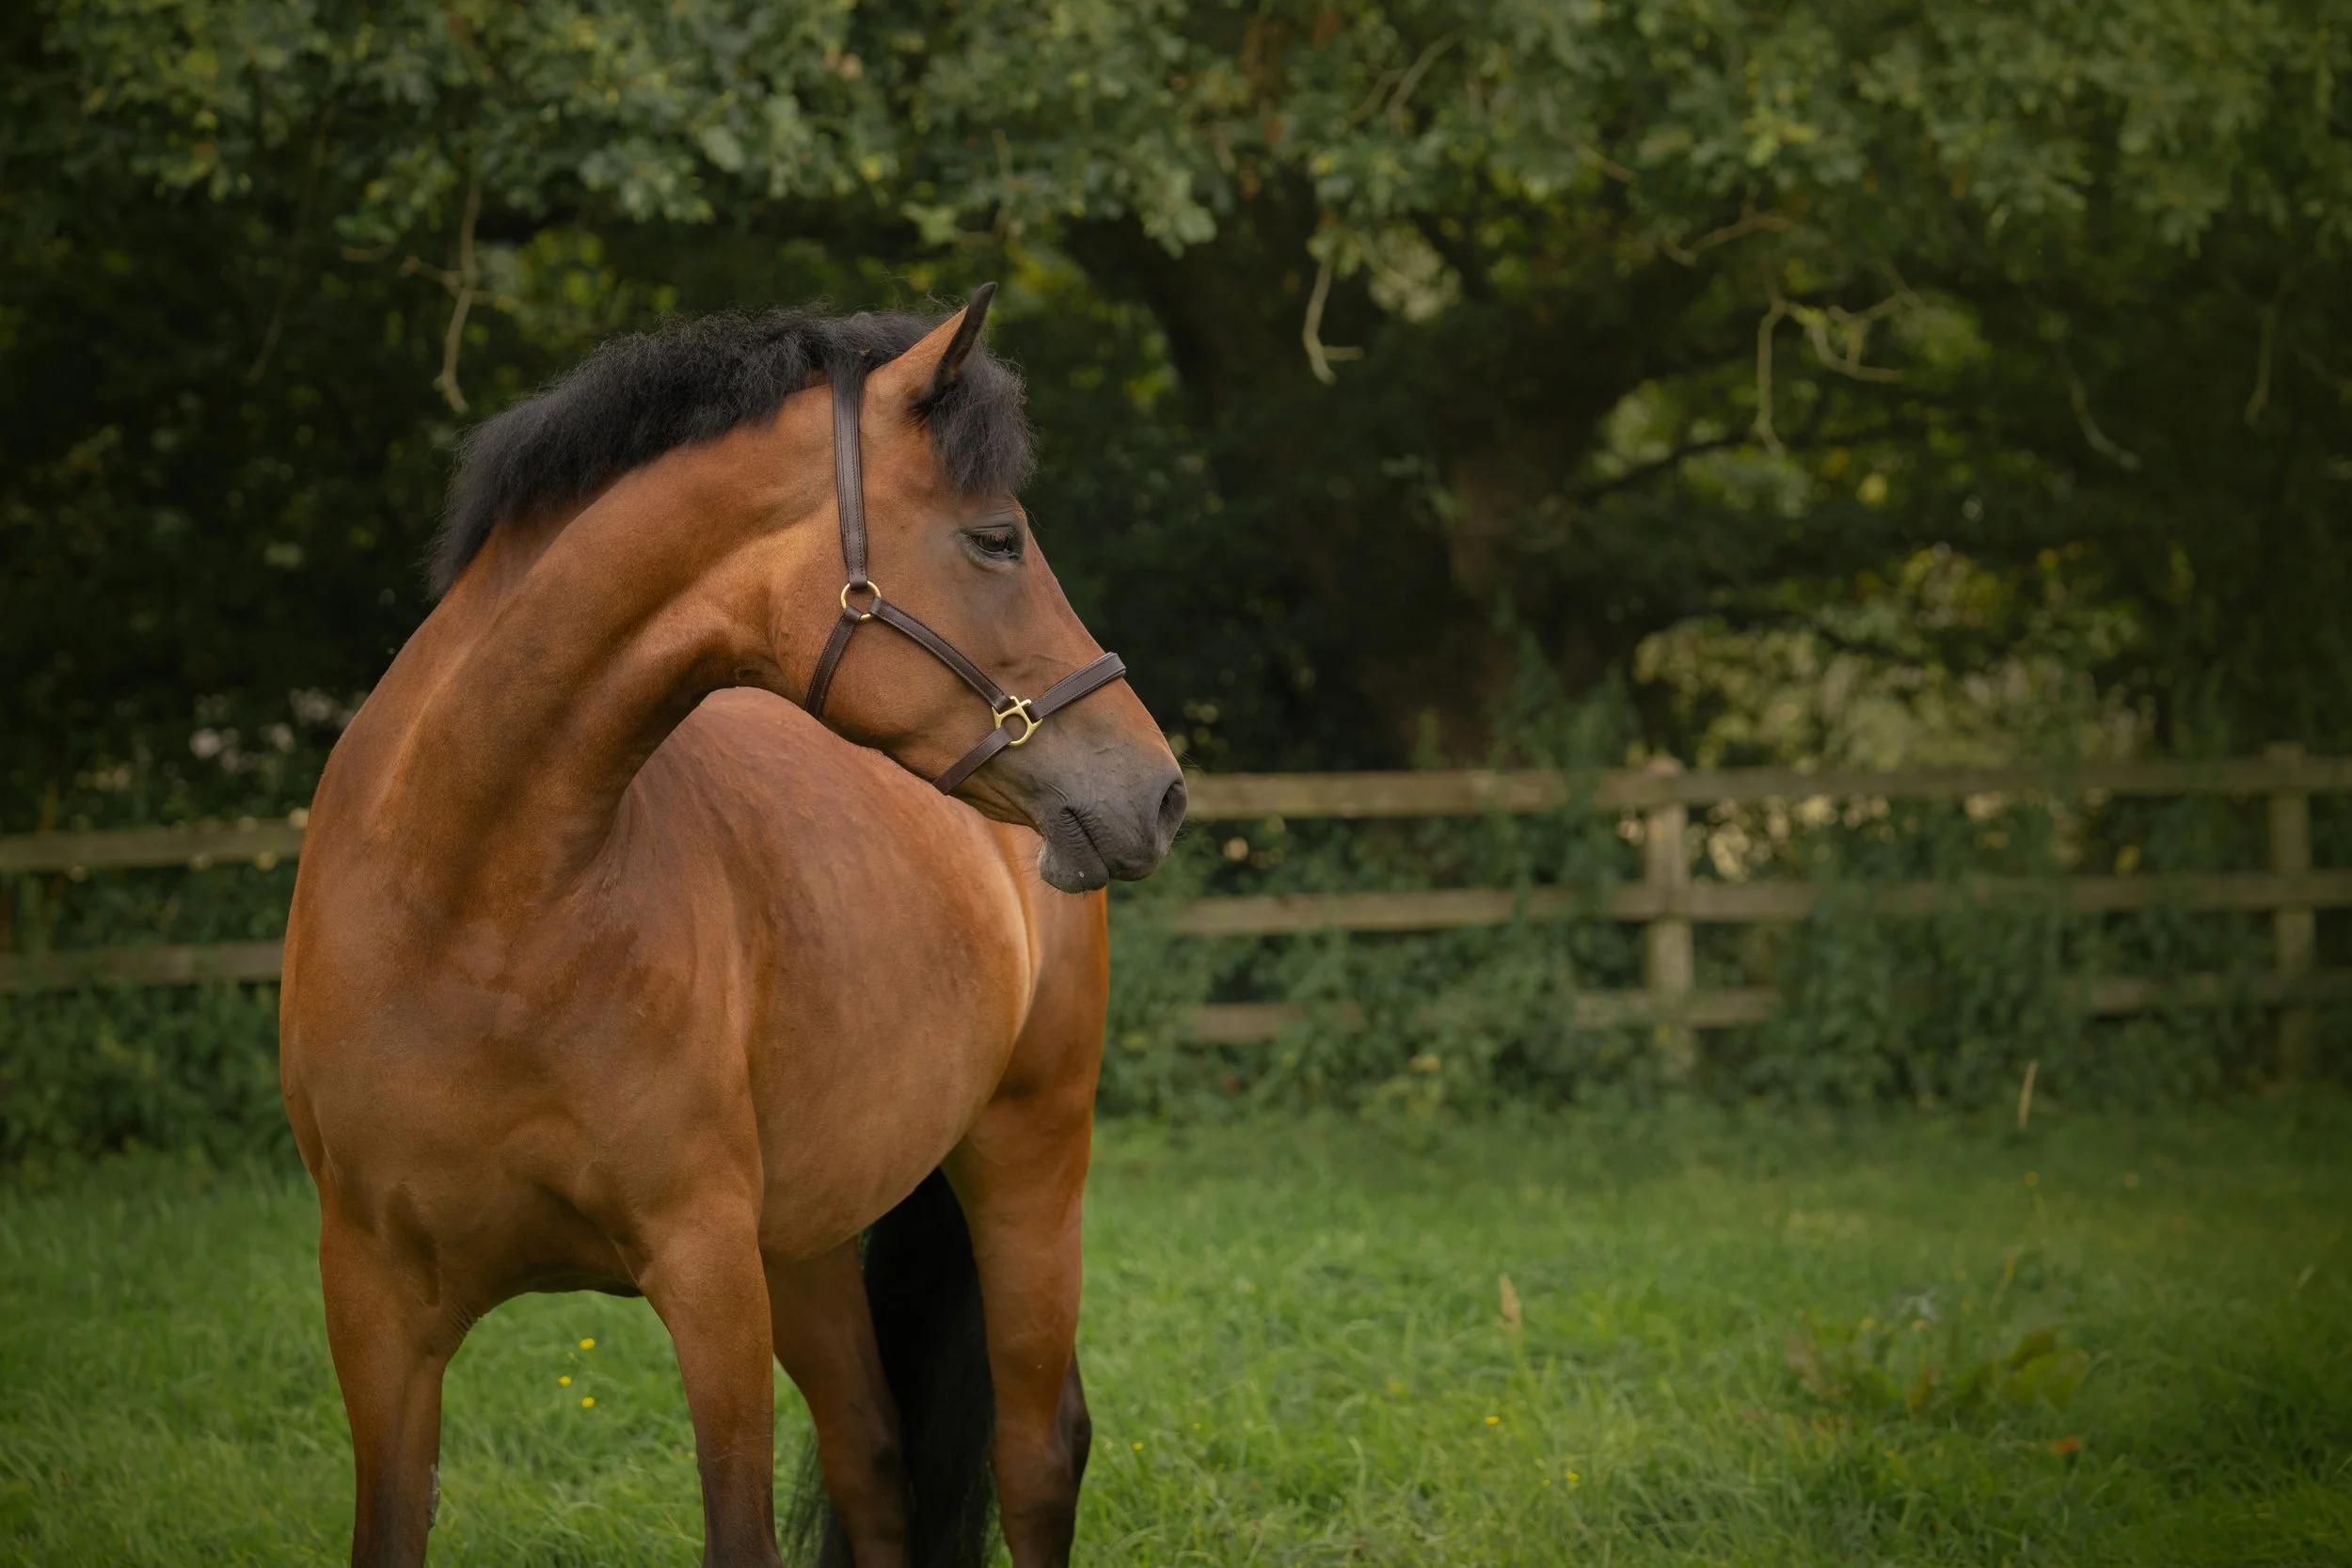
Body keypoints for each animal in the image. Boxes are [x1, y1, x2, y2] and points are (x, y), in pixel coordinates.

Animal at [279, 286, 1185, 1568]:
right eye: (998, 538)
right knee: (876, 1461)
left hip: (1026, 1157)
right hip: (805, 1247)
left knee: (1037, 1452)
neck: (469, 904)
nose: (1158, 791)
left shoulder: (706, 1274)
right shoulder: (372, 1302)